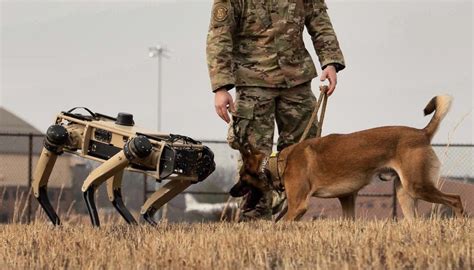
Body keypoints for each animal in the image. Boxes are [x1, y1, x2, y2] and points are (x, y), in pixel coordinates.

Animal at [237, 96, 462, 220]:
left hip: (418, 186)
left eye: (241, 176)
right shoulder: (347, 197)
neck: (279, 162)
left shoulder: (298, 206)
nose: (232, 191)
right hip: (404, 193)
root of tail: (422, 133)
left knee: (456, 199)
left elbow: (281, 225)